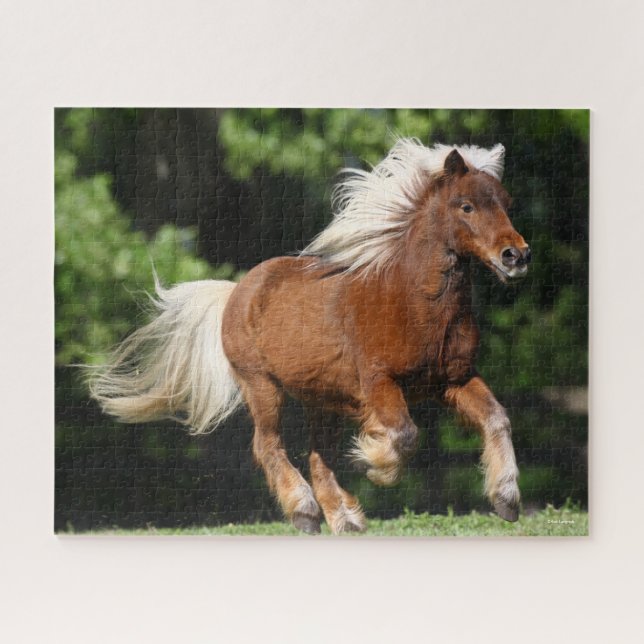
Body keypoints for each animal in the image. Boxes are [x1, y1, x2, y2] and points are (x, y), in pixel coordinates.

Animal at [90, 138, 531, 534]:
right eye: (466, 206)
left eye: (507, 203)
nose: (517, 256)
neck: (412, 302)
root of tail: (235, 292)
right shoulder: (379, 382)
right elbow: (405, 435)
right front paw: (374, 463)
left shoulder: (453, 380)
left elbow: (497, 418)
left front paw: (506, 500)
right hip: (262, 387)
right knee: (268, 446)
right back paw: (305, 512)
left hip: (324, 401)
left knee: (318, 457)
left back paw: (346, 519)